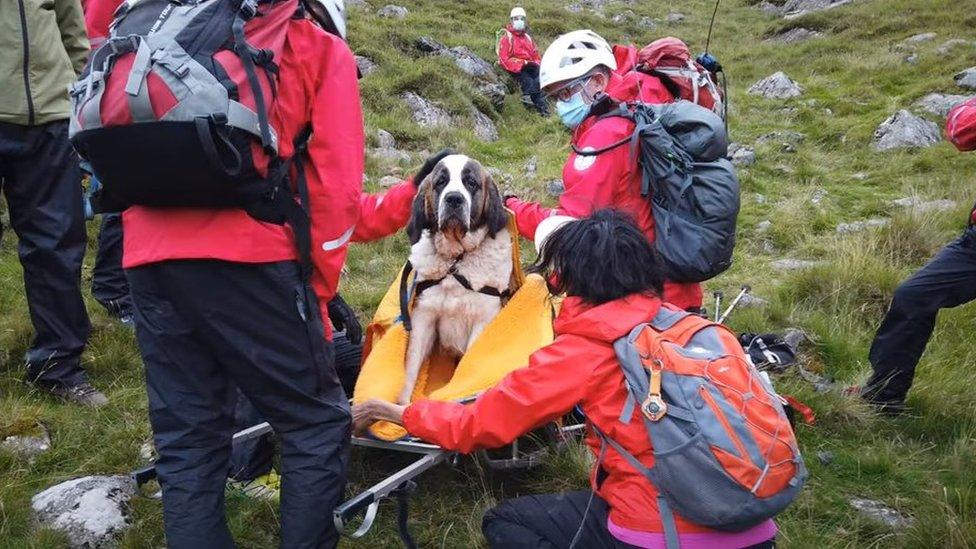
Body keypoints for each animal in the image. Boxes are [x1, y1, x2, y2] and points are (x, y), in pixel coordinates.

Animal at [400, 153, 516, 402]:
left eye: (470, 183)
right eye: (441, 182)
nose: (454, 198)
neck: (456, 261)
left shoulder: (483, 319)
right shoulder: (424, 315)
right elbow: (411, 364)